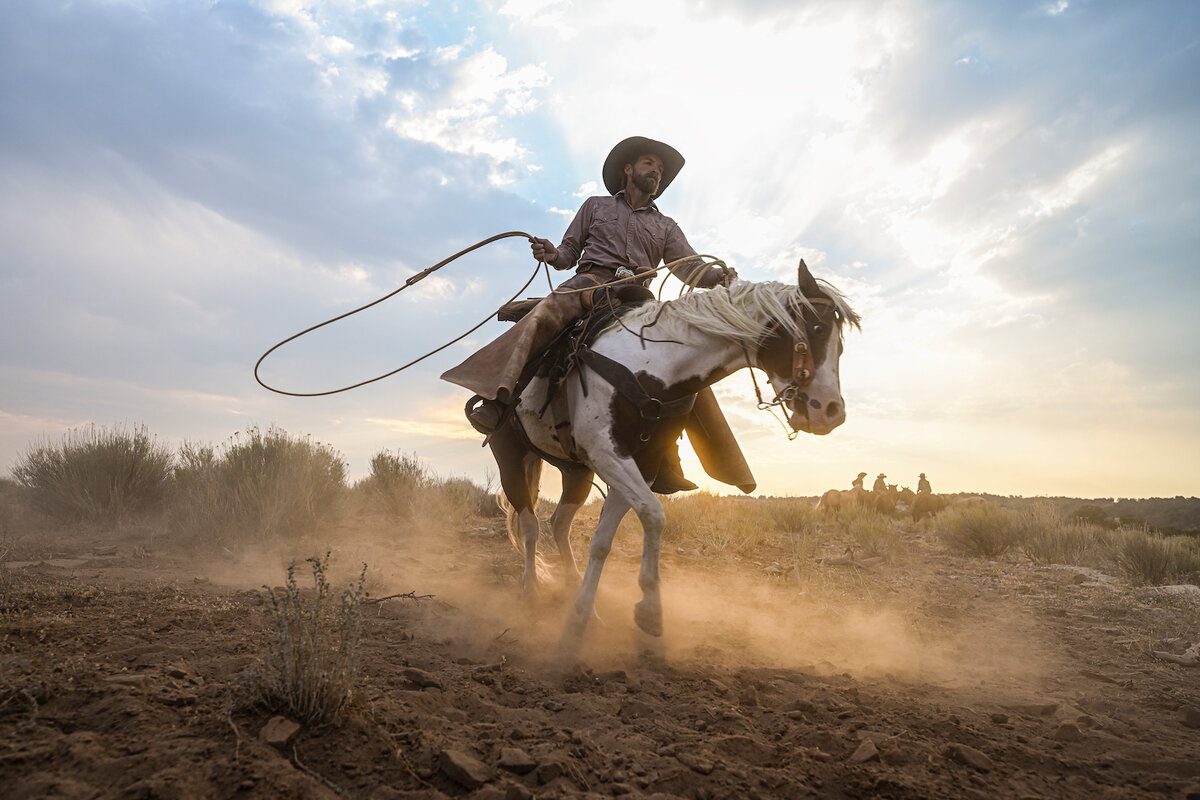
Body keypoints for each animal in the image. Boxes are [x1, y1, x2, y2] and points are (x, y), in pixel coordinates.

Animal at [472, 260, 859, 652]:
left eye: (841, 345)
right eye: (816, 328)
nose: (832, 412)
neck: (652, 365)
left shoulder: (637, 462)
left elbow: (607, 539)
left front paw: (587, 616)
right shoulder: (607, 453)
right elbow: (654, 514)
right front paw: (649, 611)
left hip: (576, 472)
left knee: (559, 525)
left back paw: (570, 586)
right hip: (511, 458)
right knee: (530, 524)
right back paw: (531, 590)